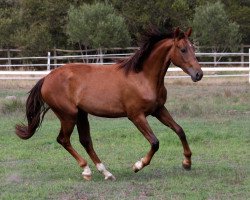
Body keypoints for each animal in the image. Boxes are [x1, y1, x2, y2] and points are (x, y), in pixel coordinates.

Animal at [15, 27, 203, 181]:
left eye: (193, 48)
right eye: (183, 49)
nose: (198, 74)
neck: (143, 77)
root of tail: (46, 78)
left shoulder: (158, 110)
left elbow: (180, 130)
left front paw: (187, 162)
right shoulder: (136, 116)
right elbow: (155, 142)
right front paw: (138, 165)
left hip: (81, 114)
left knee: (86, 141)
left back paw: (106, 173)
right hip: (68, 115)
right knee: (63, 139)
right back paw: (87, 170)